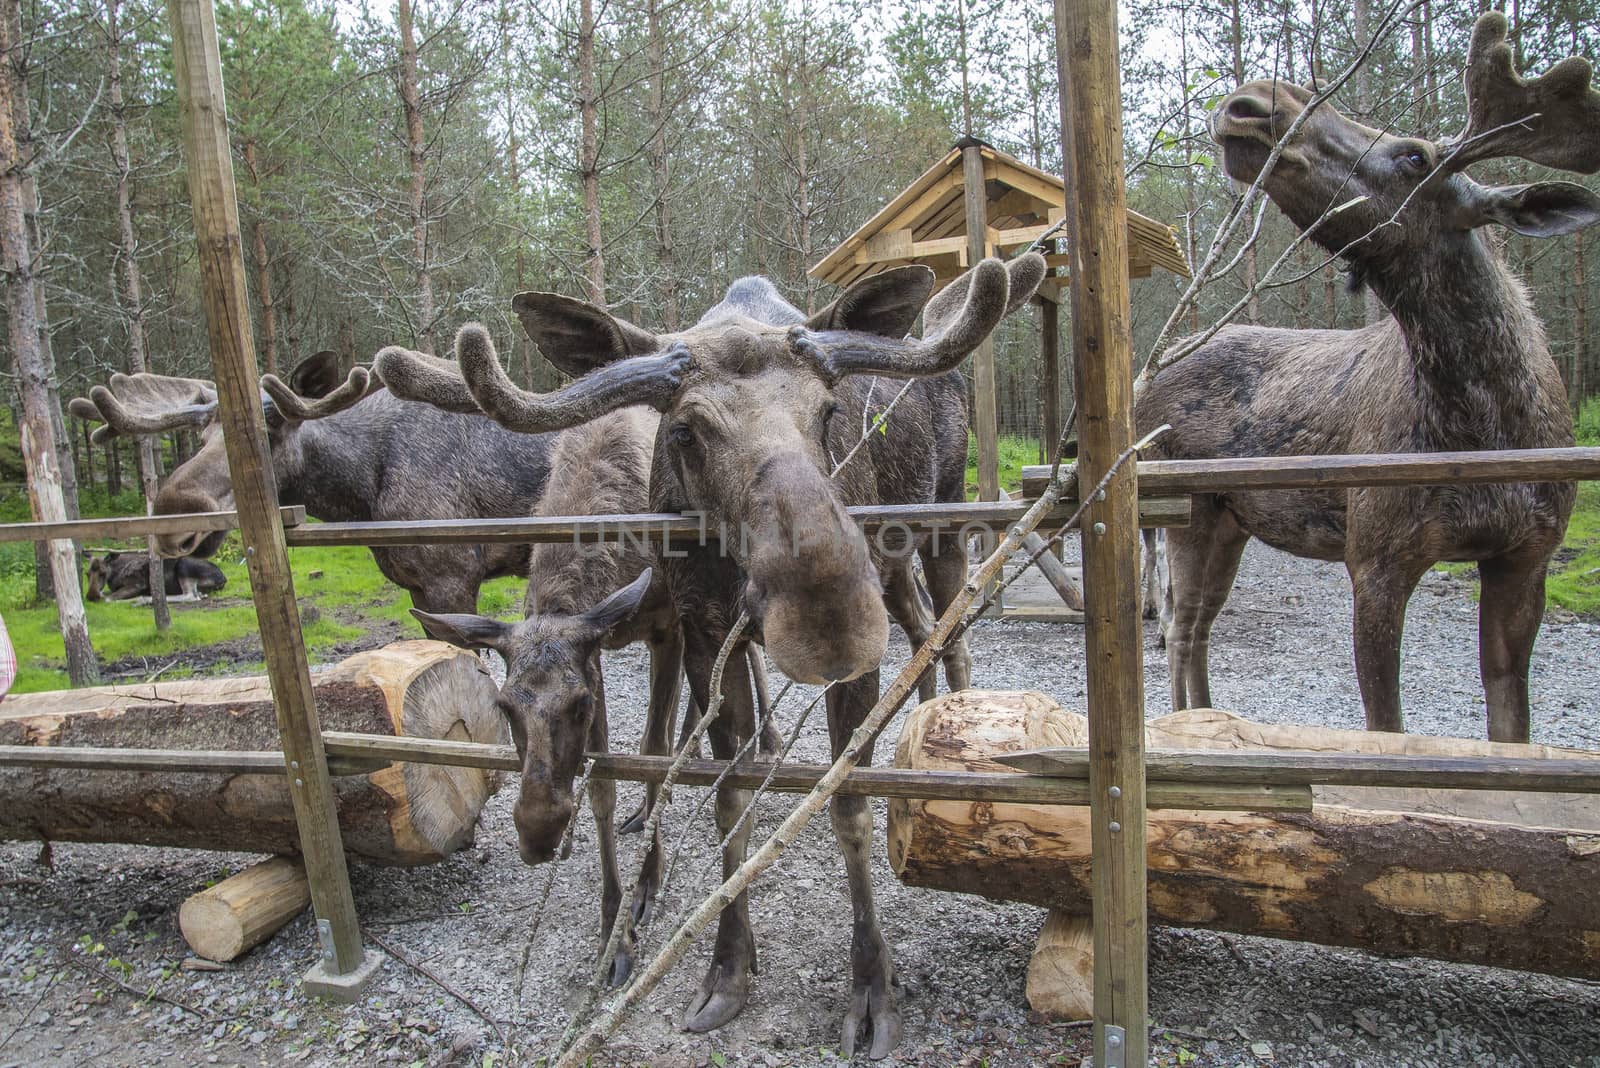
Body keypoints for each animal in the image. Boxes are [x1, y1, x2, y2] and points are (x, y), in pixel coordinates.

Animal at [1139, 10, 1600, 741]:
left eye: (1414, 155)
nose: (1253, 102)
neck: (1484, 424)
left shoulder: (1529, 553)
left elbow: (1511, 725)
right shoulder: (1376, 556)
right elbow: (1386, 727)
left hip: (1234, 519)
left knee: (1199, 626)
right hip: (1188, 509)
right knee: (1181, 627)